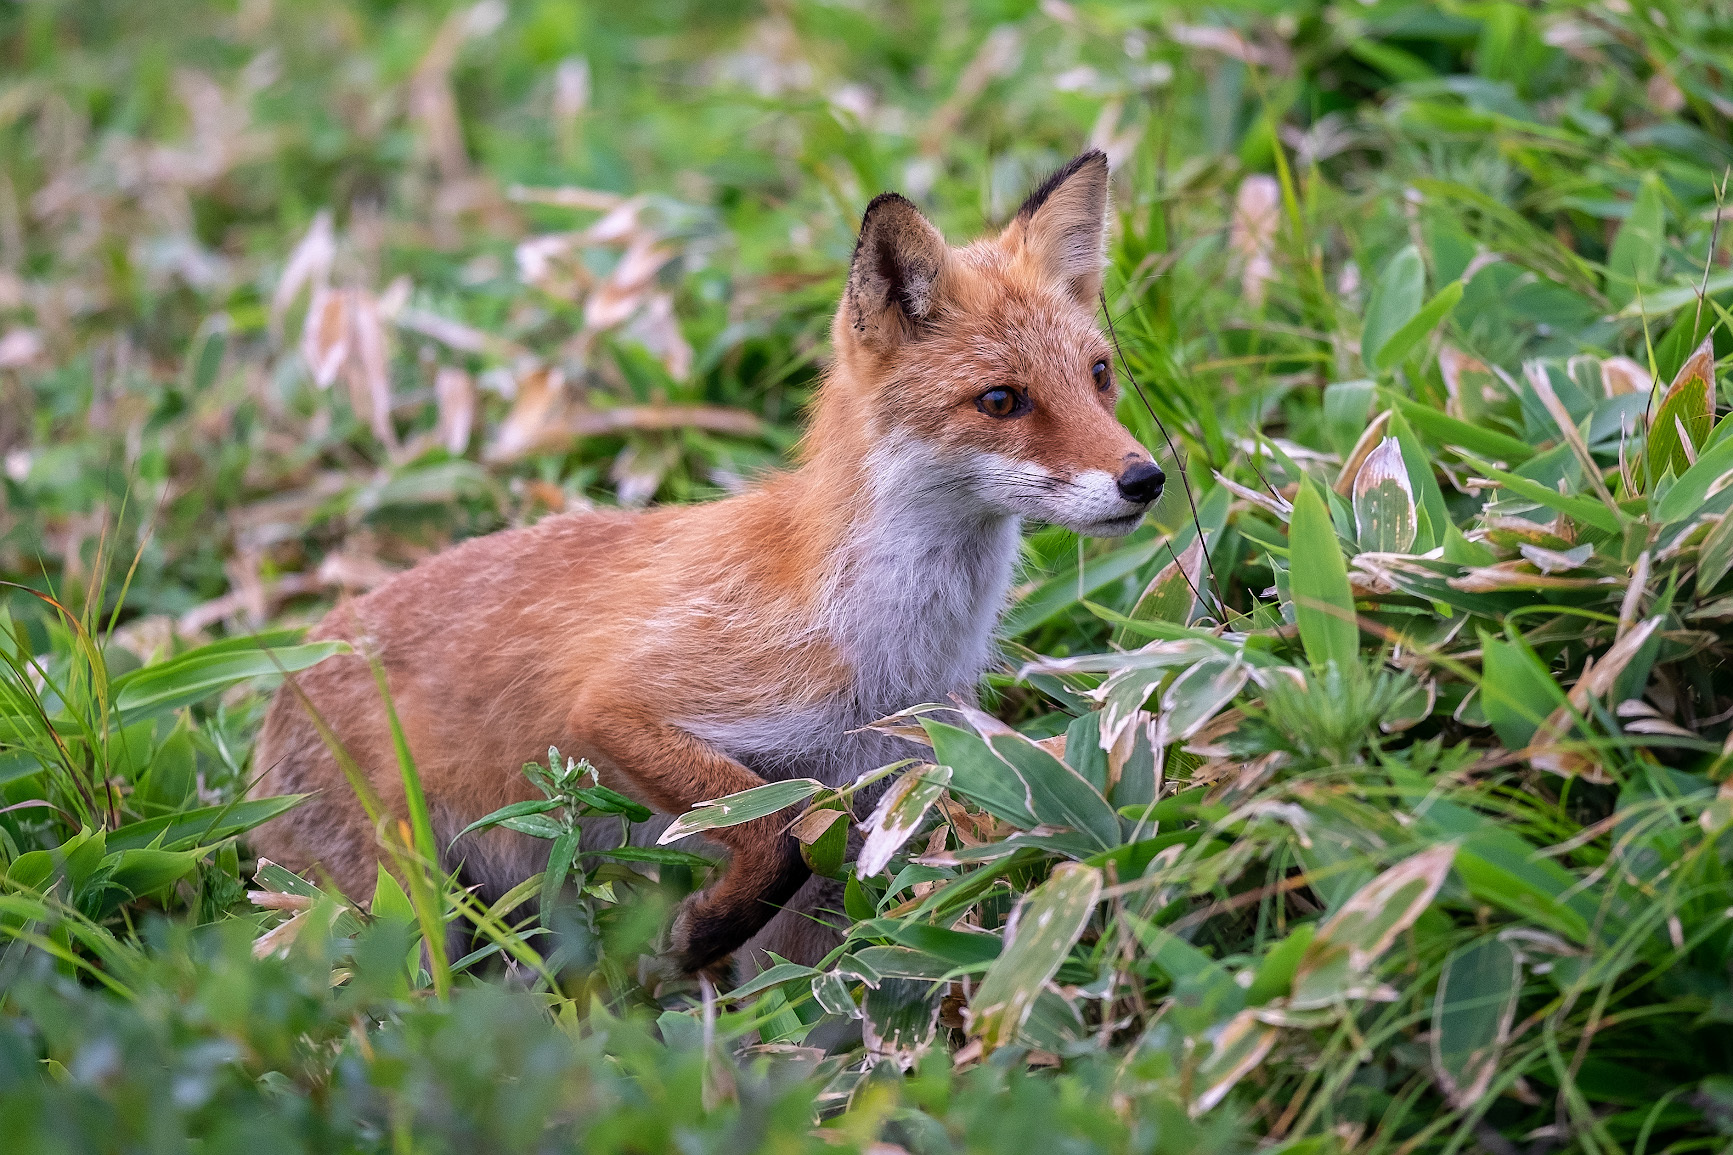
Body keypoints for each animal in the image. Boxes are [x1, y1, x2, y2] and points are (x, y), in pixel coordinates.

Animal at [247, 146, 1164, 971]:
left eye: (1098, 375)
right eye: (1001, 400)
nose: (1145, 478)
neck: (881, 646)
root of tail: (286, 676)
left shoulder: (868, 802)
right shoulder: (623, 705)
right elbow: (772, 834)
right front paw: (700, 934)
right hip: (403, 911)